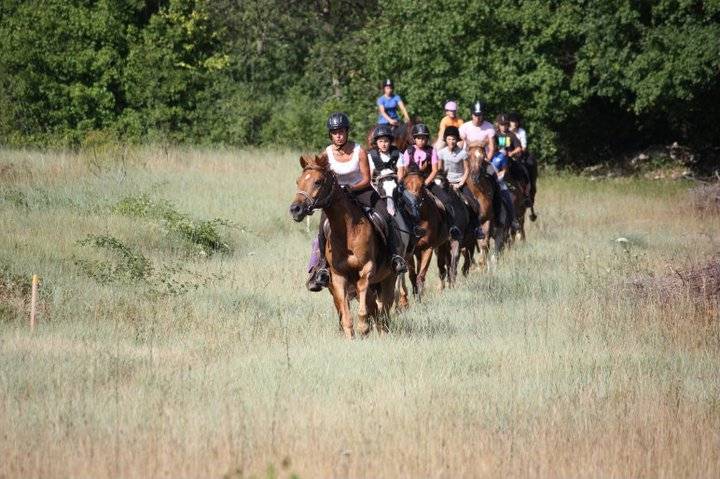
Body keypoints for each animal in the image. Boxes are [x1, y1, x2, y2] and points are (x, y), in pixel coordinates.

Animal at [288, 154, 400, 338]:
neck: (348, 230)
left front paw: (363, 327)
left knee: (384, 306)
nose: (295, 209)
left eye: (318, 182)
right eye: (298, 181)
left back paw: (383, 330)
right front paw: (351, 334)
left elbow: (364, 295)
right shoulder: (337, 275)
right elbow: (345, 312)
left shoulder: (367, 269)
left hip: (389, 277)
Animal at [396, 171, 448, 302]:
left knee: (442, 268)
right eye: (405, 185)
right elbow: (412, 275)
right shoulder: (411, 252)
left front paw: (419, 298)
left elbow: (421, 275)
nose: (414, 203)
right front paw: (416, 295)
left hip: (442, 245)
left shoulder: (427, 248)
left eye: (422, 186)